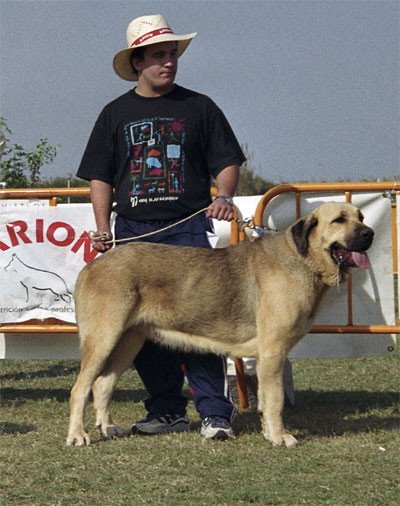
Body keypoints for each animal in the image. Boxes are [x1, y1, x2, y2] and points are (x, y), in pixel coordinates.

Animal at [67, 202, 374, 446]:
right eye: (339, 220)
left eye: (361, 217)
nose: (369, 234)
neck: (303, 260)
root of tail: (93, 265)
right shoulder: (273, 351)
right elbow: (276, 399)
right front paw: (280, 437)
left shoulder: (267, 356)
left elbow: (265, 398)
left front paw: (268, 432)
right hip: (103, 338)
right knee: (80, 388)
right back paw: (77, 436)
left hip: (129, 341)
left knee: (102, 384)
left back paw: (108, 428)